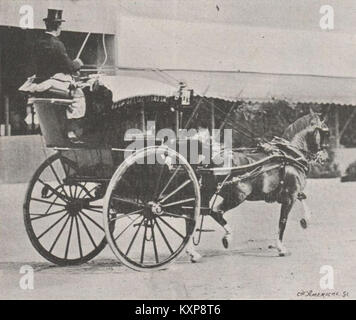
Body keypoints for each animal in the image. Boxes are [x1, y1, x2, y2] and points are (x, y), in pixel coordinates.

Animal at [188, 109, 330, 260]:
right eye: (326, 132)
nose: (325, 156)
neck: (290, 156)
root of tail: (211, 160)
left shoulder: (293, 193)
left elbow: (303, 198)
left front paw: (306, 219)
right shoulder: (290, 197)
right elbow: (283, 221)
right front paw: (281, 248)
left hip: (207, 193)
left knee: (196, 214)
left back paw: (192, 251)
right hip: (237, 196)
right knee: (215, 211)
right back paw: (227, 237)